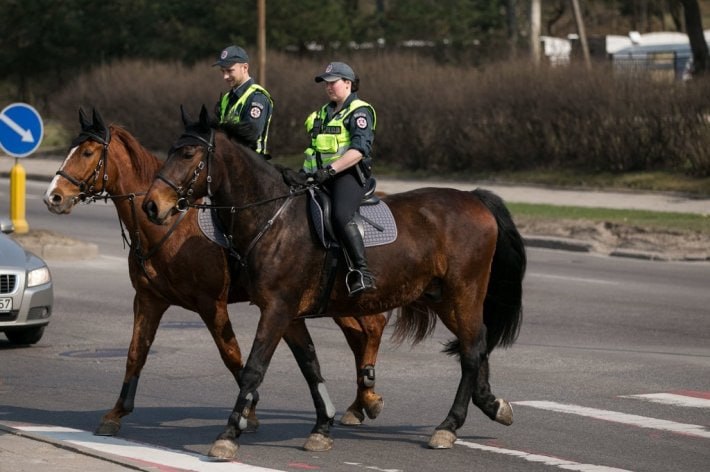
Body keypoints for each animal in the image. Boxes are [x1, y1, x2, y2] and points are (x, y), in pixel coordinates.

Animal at [43, 109, 390, 438]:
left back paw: (367, 399)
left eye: (87, 152)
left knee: (372, 327)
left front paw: (248, 413)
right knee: (361, 333)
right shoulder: (148, 300)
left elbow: (232, 355)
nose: (53, 197)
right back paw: (361, 403)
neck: (169, 227)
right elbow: (135, 353)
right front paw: (116, 414)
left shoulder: (211, 304)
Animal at [142, 106, 524, 458]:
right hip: (443, 297)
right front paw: (322, 427)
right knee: (476, 342)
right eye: (172, 150)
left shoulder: (277, 309)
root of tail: (473, 197)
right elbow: (311, 367)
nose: (151, 205)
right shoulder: (290, 315)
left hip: (464, 291)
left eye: (188, 154)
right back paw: (492, 405)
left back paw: (449, 425)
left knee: (471, 351)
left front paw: (228, 436)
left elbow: (253, 369)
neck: (273, 218)